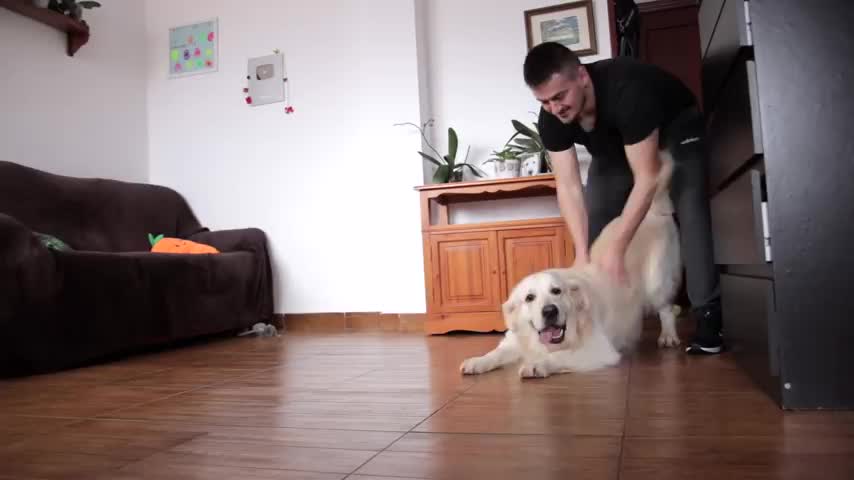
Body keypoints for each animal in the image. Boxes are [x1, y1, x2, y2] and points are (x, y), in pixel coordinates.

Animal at [458, 152, 684, 376]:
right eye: (529, 298)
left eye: (557, 291)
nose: (549, 311)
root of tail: (652, 211)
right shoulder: (515, 340)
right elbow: (496, 353)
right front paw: (477, 361)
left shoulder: (599, 349)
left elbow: (558, 356)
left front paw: (536, 364)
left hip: (657, 282)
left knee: (667, 309)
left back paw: (668, 336)